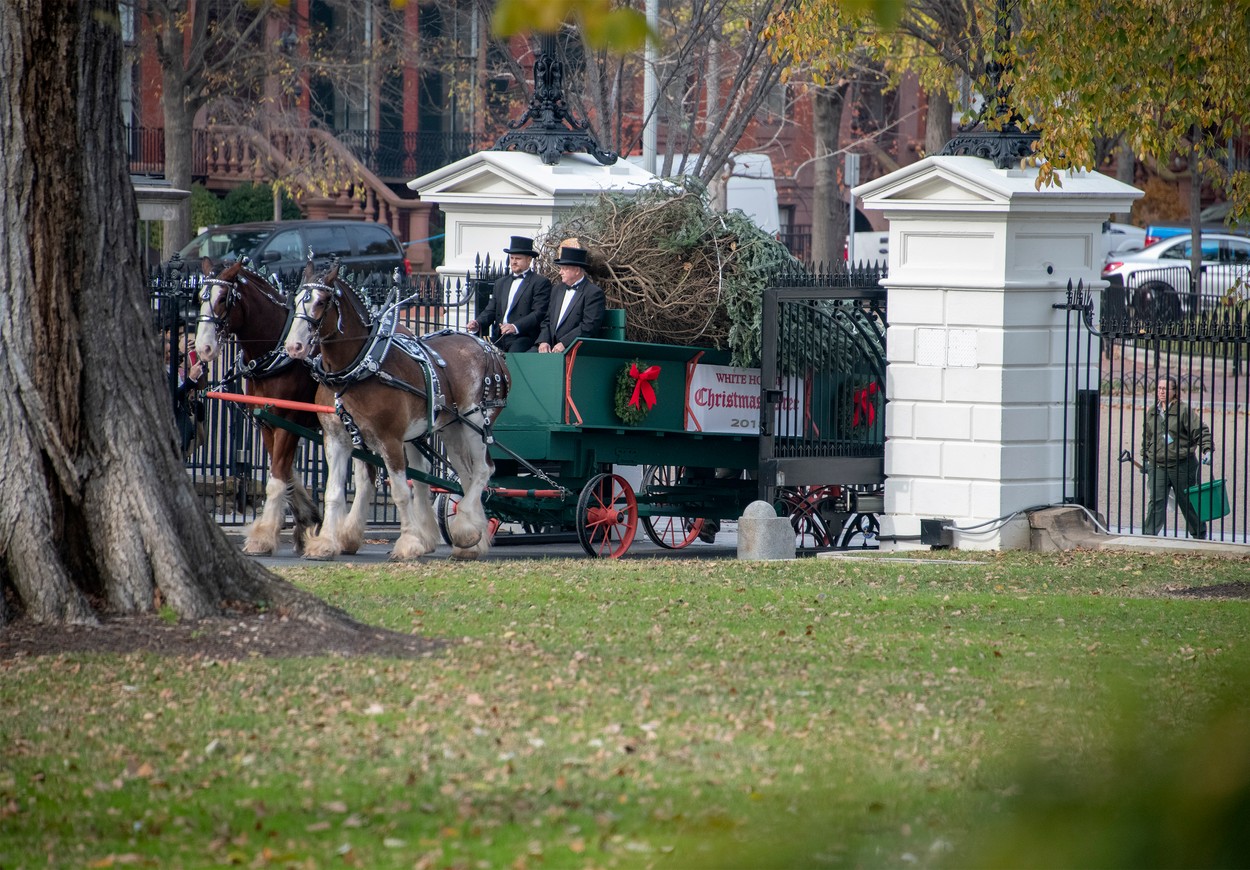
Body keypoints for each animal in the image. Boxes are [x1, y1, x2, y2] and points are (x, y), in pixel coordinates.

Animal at [190, 260, 375, 557]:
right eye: (199, 298)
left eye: (223, 298)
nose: (204, 348)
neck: (275, 351)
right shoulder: (267, 422)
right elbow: (285, 474)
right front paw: (307, 520)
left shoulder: (289, 421)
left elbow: (277, 478)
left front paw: (264, 536)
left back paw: (351, 534)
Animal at [286, 258, 510, 560]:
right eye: (298, 298)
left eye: (322, 301)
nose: (293, 346)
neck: (360, 365)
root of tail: (488, 347)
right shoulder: (337, 438)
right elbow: (334, 492)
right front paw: (325, 543)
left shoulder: (390, 439)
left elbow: (402, 492)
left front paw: (408, 544)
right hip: (452, 428)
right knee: (467, 474)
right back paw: (471, 537)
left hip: (476, 423)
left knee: (484, 470)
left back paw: (466, 529)